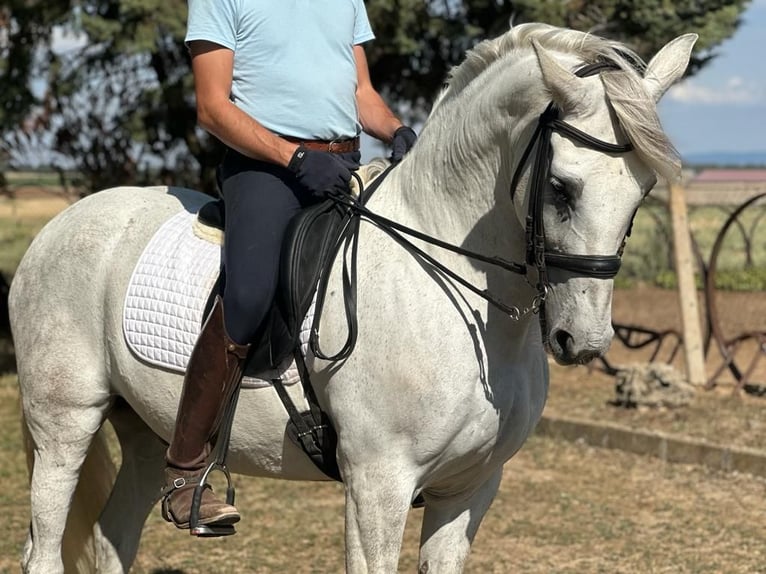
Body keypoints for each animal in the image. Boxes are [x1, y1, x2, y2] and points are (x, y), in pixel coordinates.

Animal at [10, 23, 695, 573]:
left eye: (642, 192)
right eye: (561, 187)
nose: (583, 340)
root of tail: (57, 228)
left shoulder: (470, 488)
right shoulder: (378, 485)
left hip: (148, 432)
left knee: (112, 538)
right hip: (65, 424)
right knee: (45, 547)